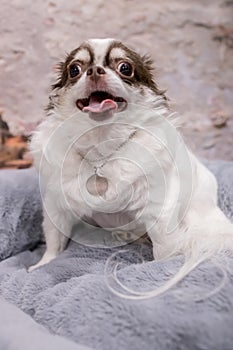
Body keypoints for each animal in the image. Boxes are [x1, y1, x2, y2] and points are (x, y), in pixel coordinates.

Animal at [29, 37, 233, 296]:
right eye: (74, 70)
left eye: (125, 68)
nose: (94, 70)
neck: (101, 147)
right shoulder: (56, 205)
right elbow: (55, 239)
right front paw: (43, 263)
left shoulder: (160, 208)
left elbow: (163, 246)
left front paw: (159, 267)